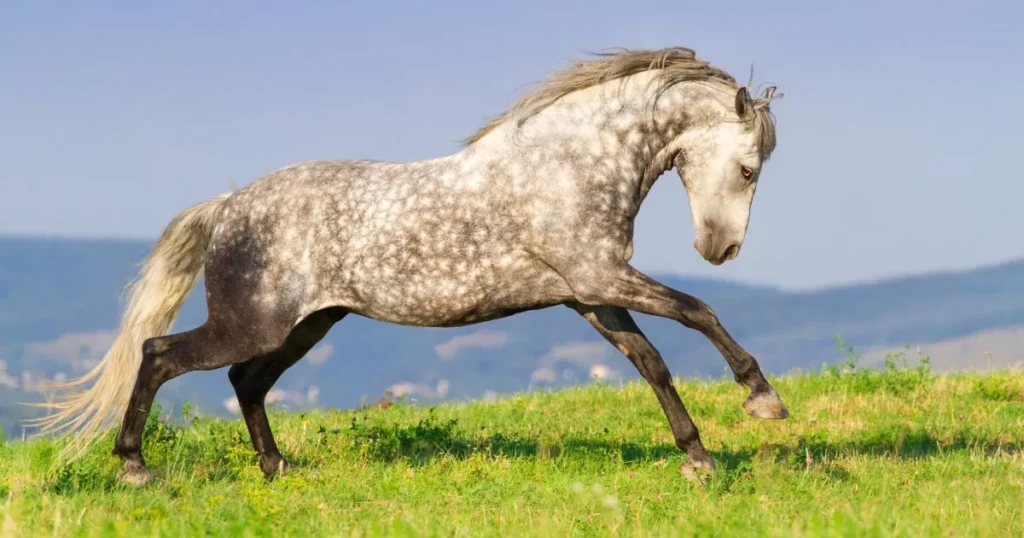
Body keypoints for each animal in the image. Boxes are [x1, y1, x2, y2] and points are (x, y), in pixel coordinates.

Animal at [29, 45, 782, 481]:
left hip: (308, 325)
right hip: (250, 325)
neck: (566, 166)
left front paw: (699, 459)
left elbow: (651, 362)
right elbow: (697, 310)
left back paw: (277, 467)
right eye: (749, 168)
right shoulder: (599, 278)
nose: (720, 249)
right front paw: (761, 399)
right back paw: (134, 468)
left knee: (246, 381)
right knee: (160, 354)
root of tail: (227, 205)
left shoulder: (589, 292)